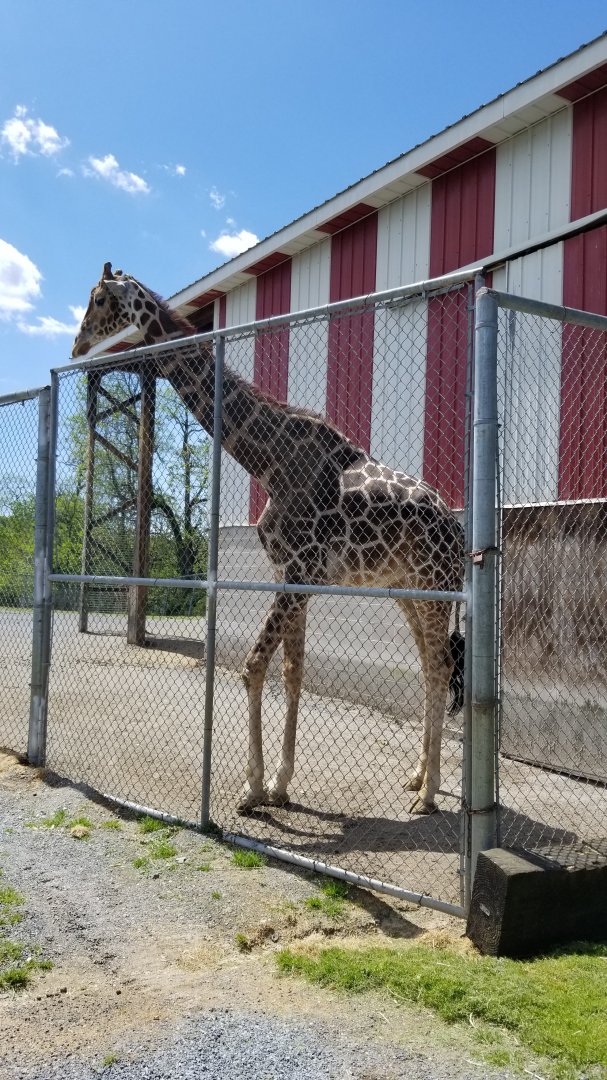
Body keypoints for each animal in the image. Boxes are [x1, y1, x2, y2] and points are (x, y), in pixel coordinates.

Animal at [73, 263, 465, 815]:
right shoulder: (292, 575)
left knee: (441, 666)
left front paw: (252, 788)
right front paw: (280, 784)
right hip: (406, 592)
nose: (77, 345)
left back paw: (428, 795)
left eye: (100, 299)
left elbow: (254, 668)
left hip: (434, 590)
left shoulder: (301, 571)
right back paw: (416, 777)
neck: (269, 462)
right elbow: (292, 673)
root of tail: (458, 530)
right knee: (433, 666)